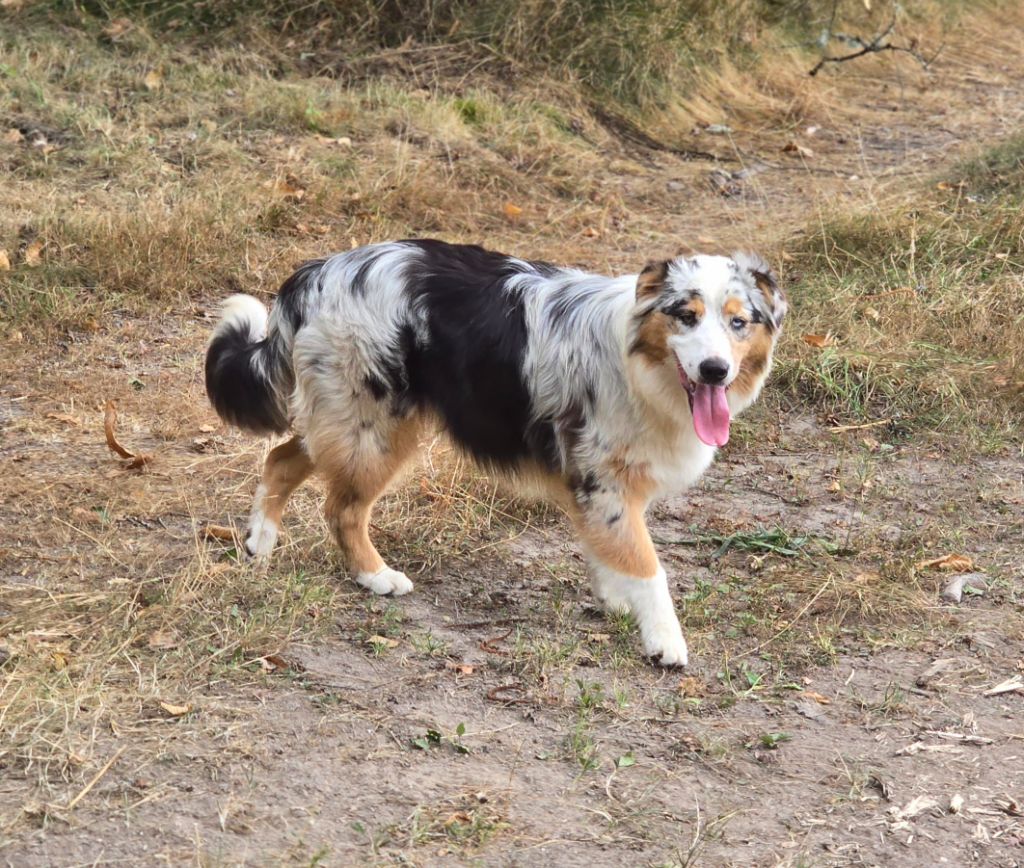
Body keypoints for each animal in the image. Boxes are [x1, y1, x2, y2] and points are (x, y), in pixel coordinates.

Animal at [205, 240, 782, 667]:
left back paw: (259, 542)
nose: (714, 370)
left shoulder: (600, 490)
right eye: (686, 315)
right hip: (374, 429)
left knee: (281, 459)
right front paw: (664, 640)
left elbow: (609, 552)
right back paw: (376, 576)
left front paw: (616, 599)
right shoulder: (602, 483)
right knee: (342, 508)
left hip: (349, 422)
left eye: (739, 322)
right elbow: (648, 567)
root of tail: (317, 272)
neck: (639, 363)